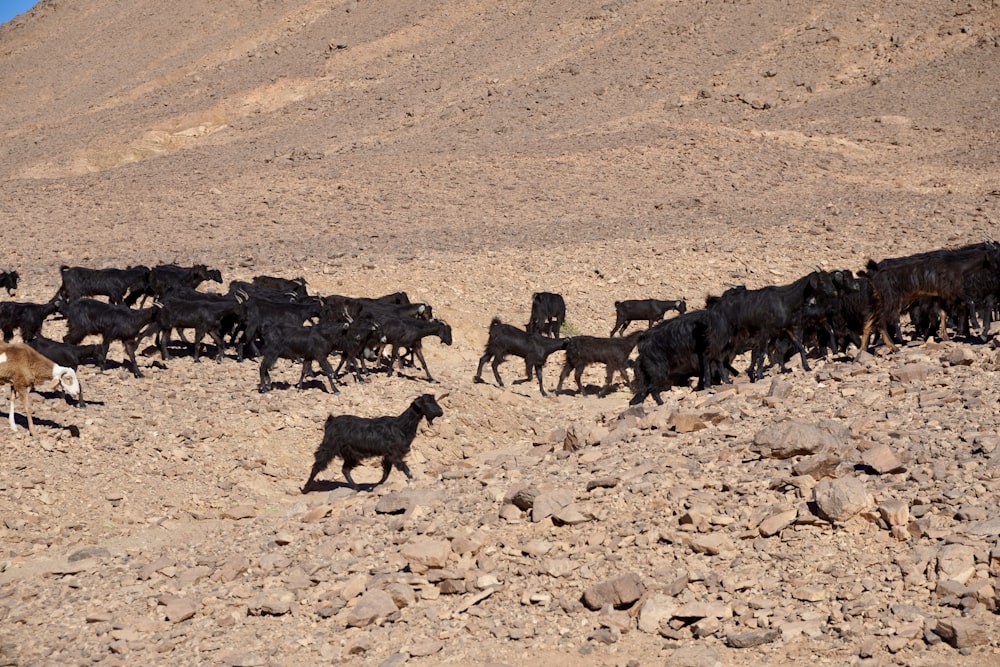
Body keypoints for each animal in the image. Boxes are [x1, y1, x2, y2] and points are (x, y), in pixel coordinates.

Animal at [298, 394, 444, 494]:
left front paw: (373, 487)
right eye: (427, 402)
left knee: (345, 469)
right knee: (317, 466)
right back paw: (305, 488)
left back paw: (356, 488)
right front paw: (412, 479)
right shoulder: (394, 454)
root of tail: (331, 422)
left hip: (350, 454)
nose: (441, 412)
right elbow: (403, 468)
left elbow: (386, 474)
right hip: (329, 447)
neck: (402, 426)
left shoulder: (388, 455)